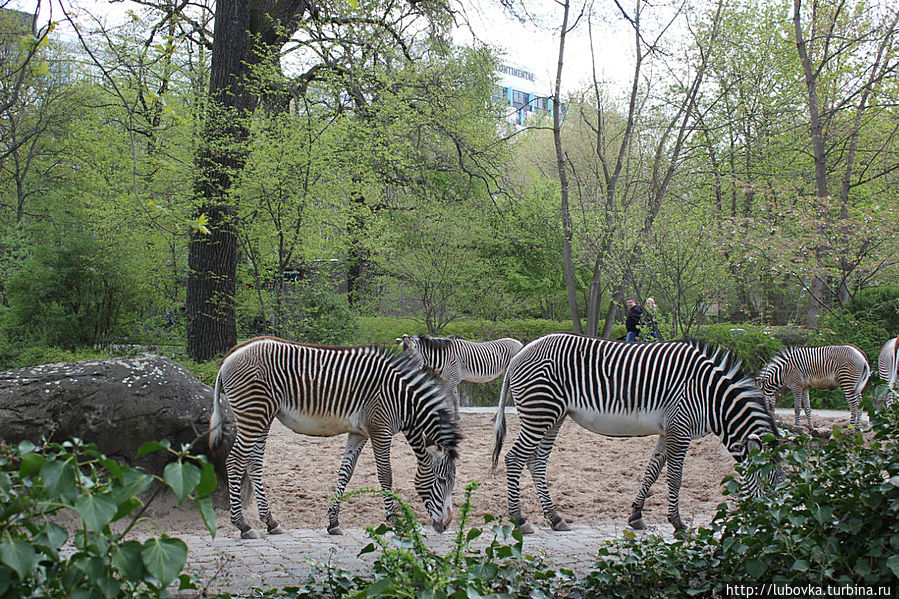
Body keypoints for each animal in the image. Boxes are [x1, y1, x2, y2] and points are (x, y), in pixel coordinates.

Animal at [207, 338, 460, 540]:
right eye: (441, 480)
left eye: (452, 481)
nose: (446, 525)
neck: (402, 400)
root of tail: (233, 352)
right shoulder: (380, 429)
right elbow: (385, 476)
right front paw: (395, 522)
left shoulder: (359, 433)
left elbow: (345, 473)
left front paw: (333, 522)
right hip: (254, 413)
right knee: (235, 461)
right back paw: (243, 525)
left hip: (264, 416)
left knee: (254, 464)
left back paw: (271, 522)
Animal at [492, 332, 780, 536]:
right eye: (767, 484)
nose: (773, 529)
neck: (711, 396)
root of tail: (520, 354)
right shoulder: (680, 428)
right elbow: (675, 478)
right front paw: (678, 524)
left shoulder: (668, 431)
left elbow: (652, 472)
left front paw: (636, 515)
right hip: (540, 412)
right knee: (515, 459)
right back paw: (519, 519)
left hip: (554, 416)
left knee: (536, 462)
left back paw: (555, 518)